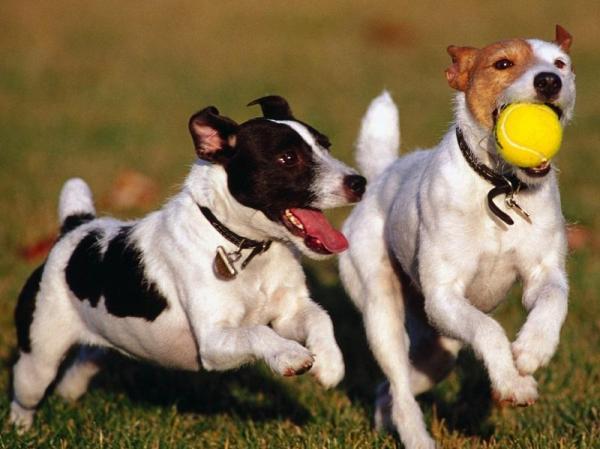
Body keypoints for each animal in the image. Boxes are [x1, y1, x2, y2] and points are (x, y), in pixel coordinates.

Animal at [9, 95, 366, 430]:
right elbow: (257, 332)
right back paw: (20, 427)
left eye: (325, 145)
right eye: (288, 158)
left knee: (84, 360)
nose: (359, 183)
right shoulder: (214, 341)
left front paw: (330, 364)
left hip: (103, 339)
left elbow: (320, 317)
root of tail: (75, 227)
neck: (244, 247)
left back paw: (69, 393)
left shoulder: (287, 314)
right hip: (39, 357)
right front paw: (290, 355)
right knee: (25, 392)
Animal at [340, 26, 576, 446]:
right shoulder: (444, 296)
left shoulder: (542, 272)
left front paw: (532, 351)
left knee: (392, 390)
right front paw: (512, 383)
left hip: (439, 349)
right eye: (503, 63)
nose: (549, 80)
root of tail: (382, 175)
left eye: (561, 64)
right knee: (399, 386)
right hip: (382, 312)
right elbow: (489, 330)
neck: (499, 186)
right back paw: (417, 438)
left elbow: (552, 301)